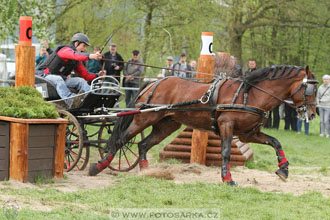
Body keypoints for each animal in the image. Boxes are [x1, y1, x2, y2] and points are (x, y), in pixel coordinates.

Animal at [89, 65, 318, 186]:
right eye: (310, 90)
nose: (313, 113)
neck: (250, 94)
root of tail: (155, 82)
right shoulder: (226, 125)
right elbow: (226, 152)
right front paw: (227, 178)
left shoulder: (248, 134)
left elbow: (276, 142)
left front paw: (284, 169)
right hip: (144, 118)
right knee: (121, 140)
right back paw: (98, 166)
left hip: (166, 125)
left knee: (143, 144)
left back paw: (146, 171)